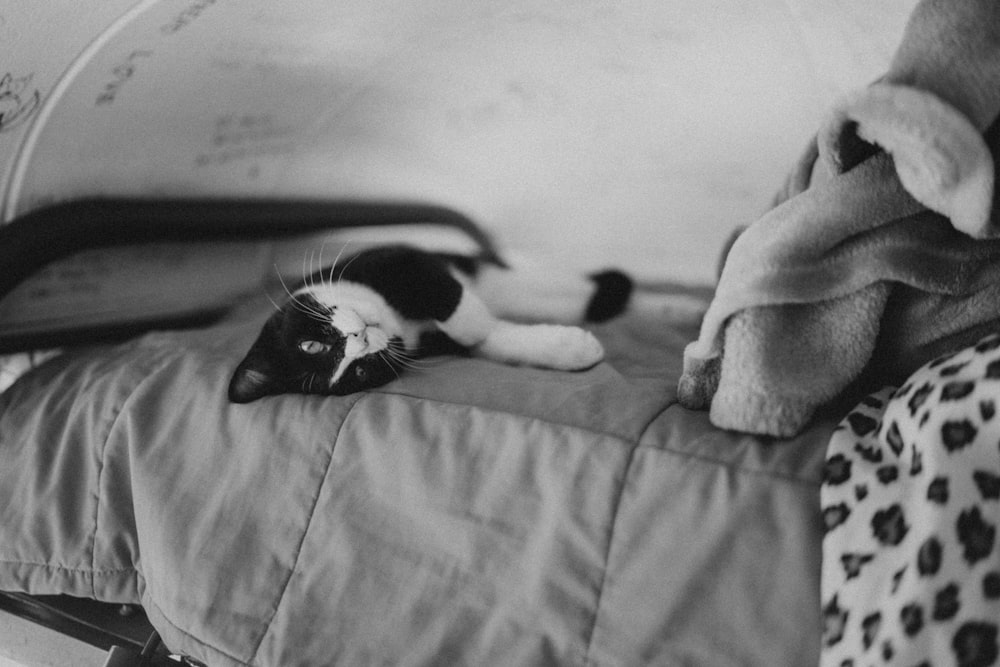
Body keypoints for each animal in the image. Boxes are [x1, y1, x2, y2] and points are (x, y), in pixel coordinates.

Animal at [230, 244, 628, 402]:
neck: (395, 319)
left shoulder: (397, 259)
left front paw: (472, 322)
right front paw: (574, 350)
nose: (360, 337)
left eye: (312, 345)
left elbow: (443, 292)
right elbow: (493, 340)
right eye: (359, 372)